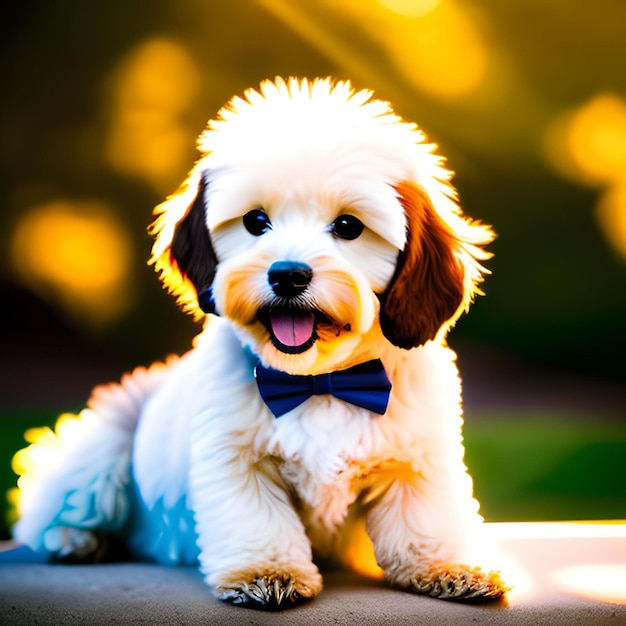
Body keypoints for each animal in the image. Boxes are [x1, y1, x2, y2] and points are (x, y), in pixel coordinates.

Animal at [11, 77, 508, 604]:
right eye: (255, 221)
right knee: (52, 509)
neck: (319, 382)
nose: (288, 274)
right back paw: (73, 538)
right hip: (101, 449)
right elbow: (259, 519)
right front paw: (267, 572)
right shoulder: (235, 458)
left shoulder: (415, 459)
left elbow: (426, 517)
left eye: (348, 226)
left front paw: (449, 565)